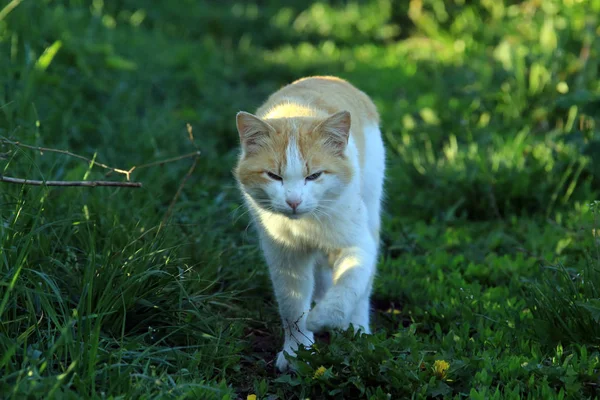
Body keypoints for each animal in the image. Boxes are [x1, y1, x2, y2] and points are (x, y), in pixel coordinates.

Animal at [234, 76, 384, 372]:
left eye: (314, 176)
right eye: (274, 176)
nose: (293, 201)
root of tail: (330, 78)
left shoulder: (358, 244)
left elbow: (350, 283)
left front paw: (323, 318)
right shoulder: (285, 257)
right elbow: (292, 306)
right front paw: (296, 350)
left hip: (371, 206)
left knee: (362, 289)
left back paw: (358, 330)